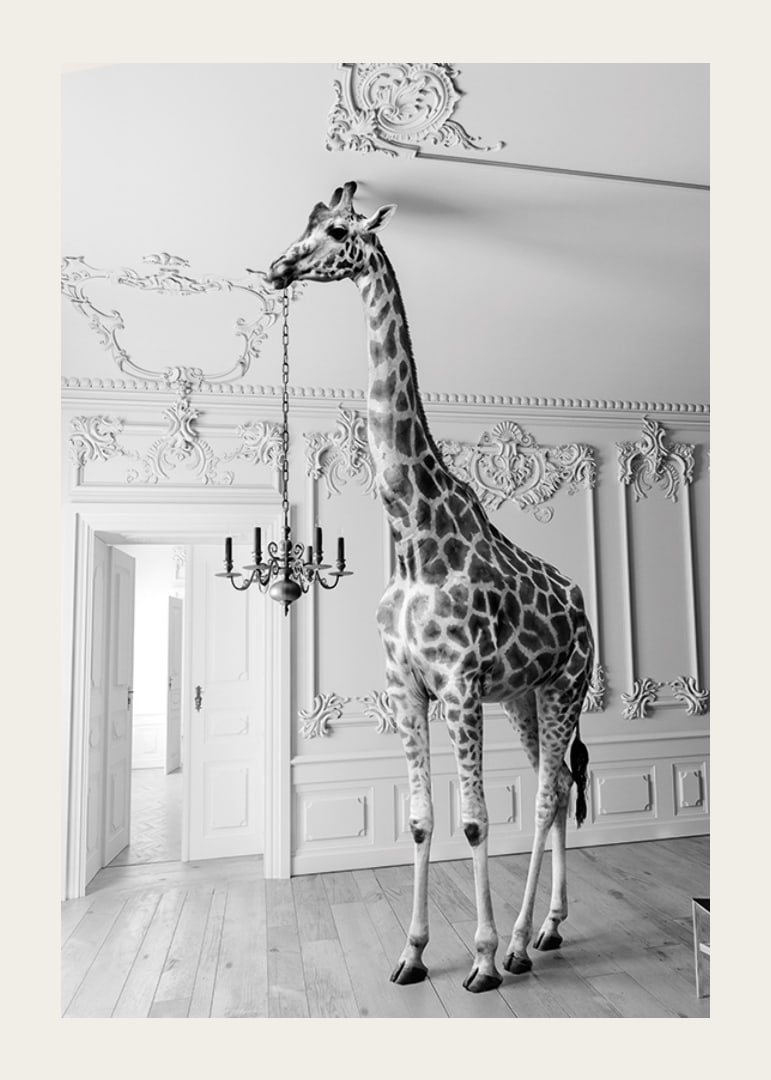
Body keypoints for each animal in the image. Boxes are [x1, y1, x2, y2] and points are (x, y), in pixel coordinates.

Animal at [267, 181, 594, 993]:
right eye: (305, 222)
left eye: (340, 231)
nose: (279, 266)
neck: (413, 537)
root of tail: (584, 607)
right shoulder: (406, 687)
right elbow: (420, 820)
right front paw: (412, 954)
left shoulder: (458, 684)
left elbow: (475, 819)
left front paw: (479, 959)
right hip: (525, 697)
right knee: (553, 792)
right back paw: (547, 930)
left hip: (567, 685)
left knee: (547, 797)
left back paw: (517, 944)